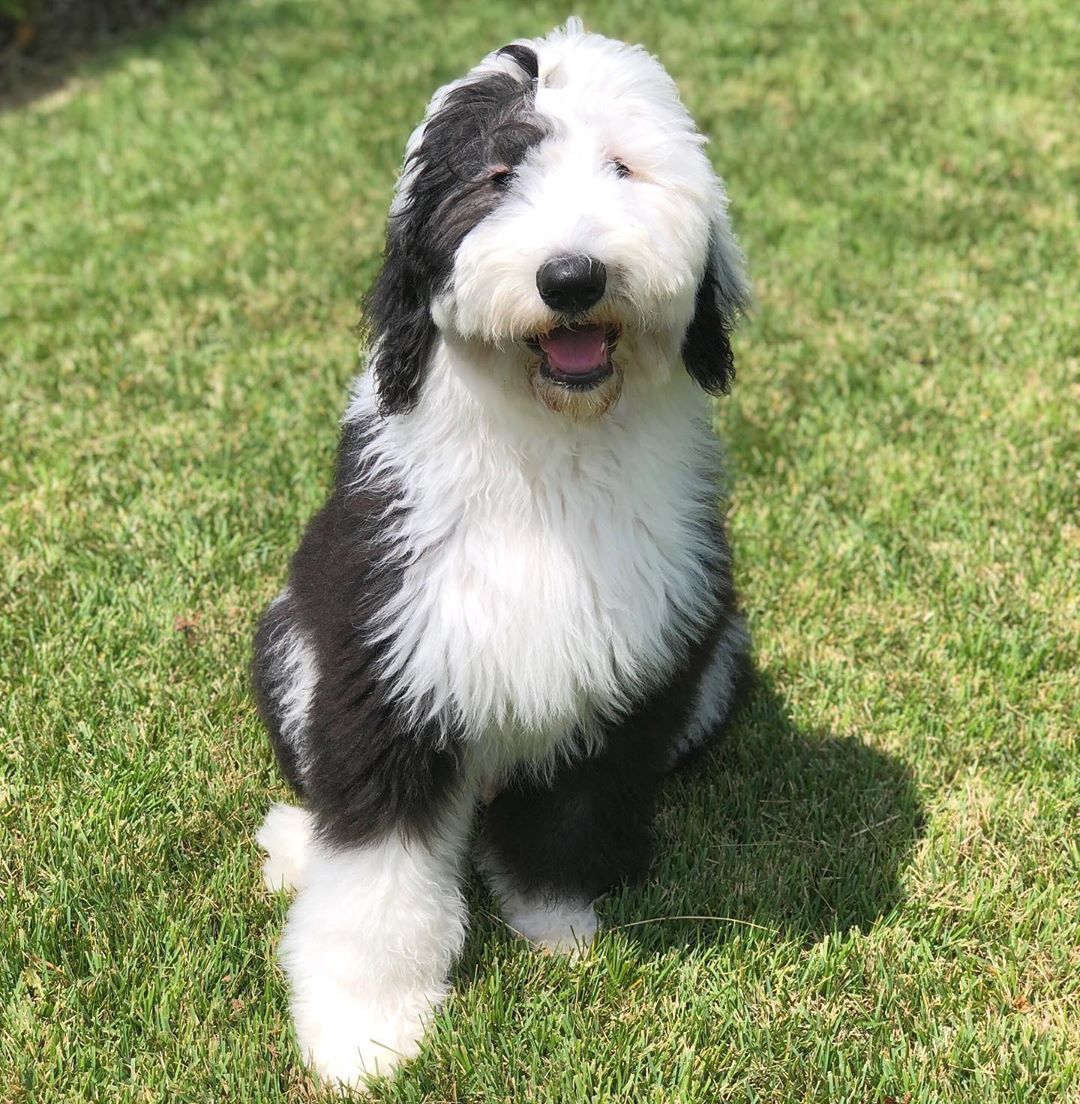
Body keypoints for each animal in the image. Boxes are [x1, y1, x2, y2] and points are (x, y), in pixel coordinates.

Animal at [255, 21, 750, 1090]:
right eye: (494, 177)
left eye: (622, 167)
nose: (571, 278)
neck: (547, 447)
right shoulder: (387, 665)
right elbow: (377, 872)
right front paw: (361, 1030)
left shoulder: (634, 661)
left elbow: (570, 811)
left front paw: (554, 921)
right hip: (287, 644)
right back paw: (294, 848)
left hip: (720, 662)